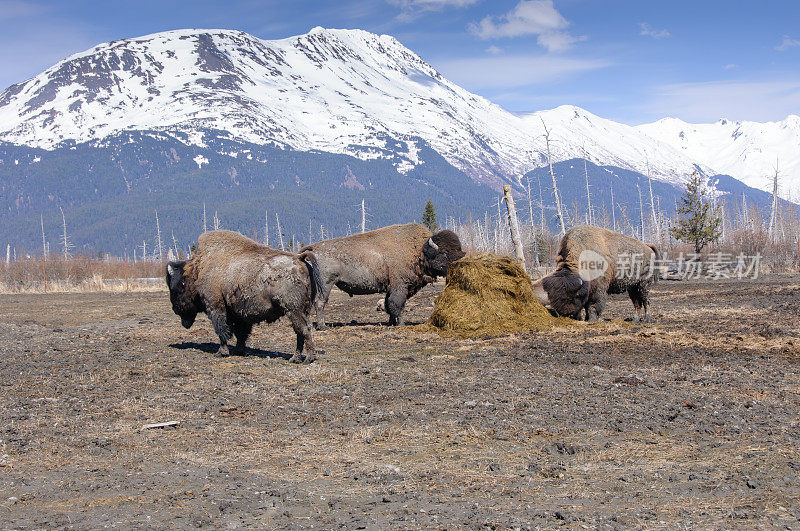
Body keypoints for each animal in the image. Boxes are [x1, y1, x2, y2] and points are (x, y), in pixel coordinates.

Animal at [164, 231, 324, 364]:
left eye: (176, 288)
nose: (175, 309)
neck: (198, 269)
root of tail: (299, 259)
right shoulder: (239, 313)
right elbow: (240, 333)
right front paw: (239, 350)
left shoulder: (215, 306)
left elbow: (222, 330)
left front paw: (221, 352)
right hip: (301, 310)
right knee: (299, 332)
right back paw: (296, 358)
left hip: (293, 310)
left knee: (304, 329)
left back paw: (307, 358)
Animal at [300, 221, 466, 328]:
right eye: (444, 253)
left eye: (459, 250)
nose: (459, 263)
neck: (419, 251)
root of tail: (315, 248)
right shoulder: (400, 286)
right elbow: (397, 304)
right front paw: (401, 324)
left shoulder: (391, 288)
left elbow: (388, 304)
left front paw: (391, 322)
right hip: (326, 284)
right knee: (320, 303)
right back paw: (322, 326)